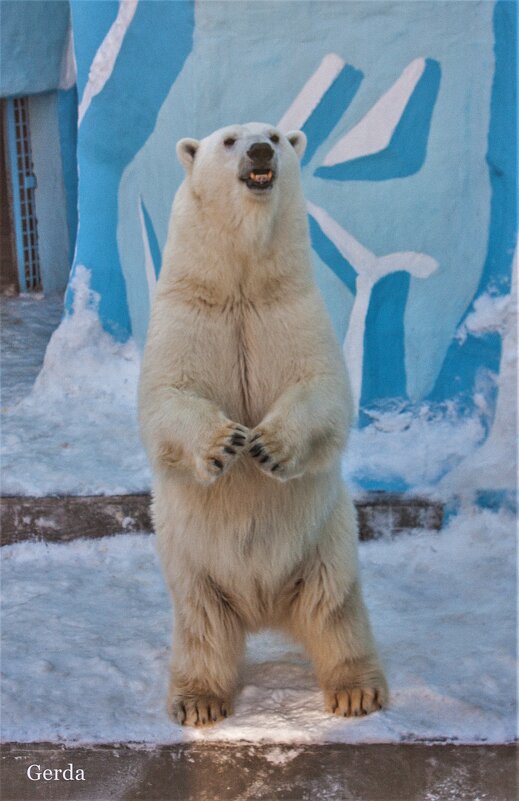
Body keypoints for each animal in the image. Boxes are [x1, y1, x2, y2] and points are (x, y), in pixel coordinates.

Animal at [140, 123, 388, 724]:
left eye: (275, 134)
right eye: (230, 140)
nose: (260, 151)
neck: (241, 282)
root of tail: (264, 609)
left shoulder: (290, 307)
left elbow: (323, 387)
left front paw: (266, 446)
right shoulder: (189, 312)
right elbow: (167, 394)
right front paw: (227, 442)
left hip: (326, 546)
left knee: (336, 612)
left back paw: (356, 690)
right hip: (192, 566)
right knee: (202, 625)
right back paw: (198, 701)